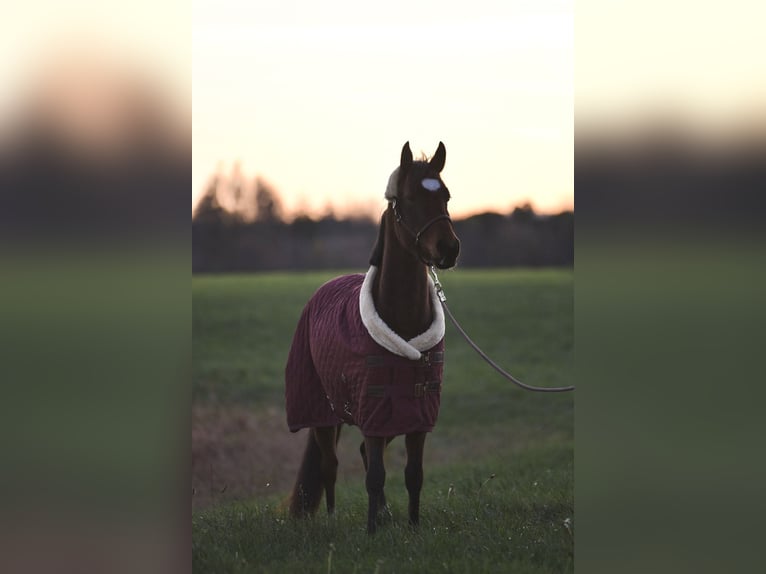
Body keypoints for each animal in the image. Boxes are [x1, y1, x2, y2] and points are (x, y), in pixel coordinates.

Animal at [284, 141, 460, 536]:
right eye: (409, 198)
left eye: (445, 195)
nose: (449, 248)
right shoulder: (372, 412)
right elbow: (376, 475)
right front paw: (371, 533)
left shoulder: (413, 416)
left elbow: (413, 474)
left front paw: (412, 527)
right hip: (322, 412)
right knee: (330, 465)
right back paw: (333, 519)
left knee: (362, 457)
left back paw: (383, 513)